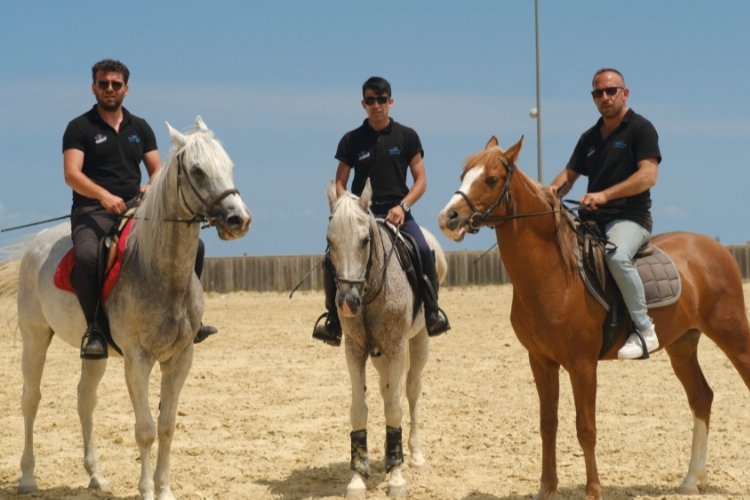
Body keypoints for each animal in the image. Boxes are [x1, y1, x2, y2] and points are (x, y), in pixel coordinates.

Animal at [12, 116, 253, 500]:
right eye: (197, 171)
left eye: (228, 165)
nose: (238, 220)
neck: (158, 269)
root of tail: (36, 244)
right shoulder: (138, 360)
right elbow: (146, 429)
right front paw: (146, 490)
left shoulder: (180, 358)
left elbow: (167, 426)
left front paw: (164, 489)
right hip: (34, 338)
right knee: (30, 399)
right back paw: (27, 478)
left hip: (93, 353)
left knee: (85, 399)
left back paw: (96, 477)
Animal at [324, 179, 444, 496]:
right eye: (330, 241)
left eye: (365, 240)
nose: (347, 302)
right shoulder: (355, 349)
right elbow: (359, 409)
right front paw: (358, 476)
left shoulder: (396, 347)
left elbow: (395, 407)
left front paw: (397, 477)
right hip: (379, 356)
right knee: (386, 388)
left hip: (419, 341)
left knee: (411, 390)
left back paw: (414, 456)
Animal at [438, 135, 750, 498]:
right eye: (464, 175)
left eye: (491, 179)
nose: (449, 217)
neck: (555, 274)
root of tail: (714, 249)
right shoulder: (540, 361)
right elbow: (548, 424)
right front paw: (547, 488)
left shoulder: (582, 365)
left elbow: (586, 428)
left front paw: (593, 490)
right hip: (682, 345)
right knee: (701, 397)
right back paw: (689, 480)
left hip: (733, 336)